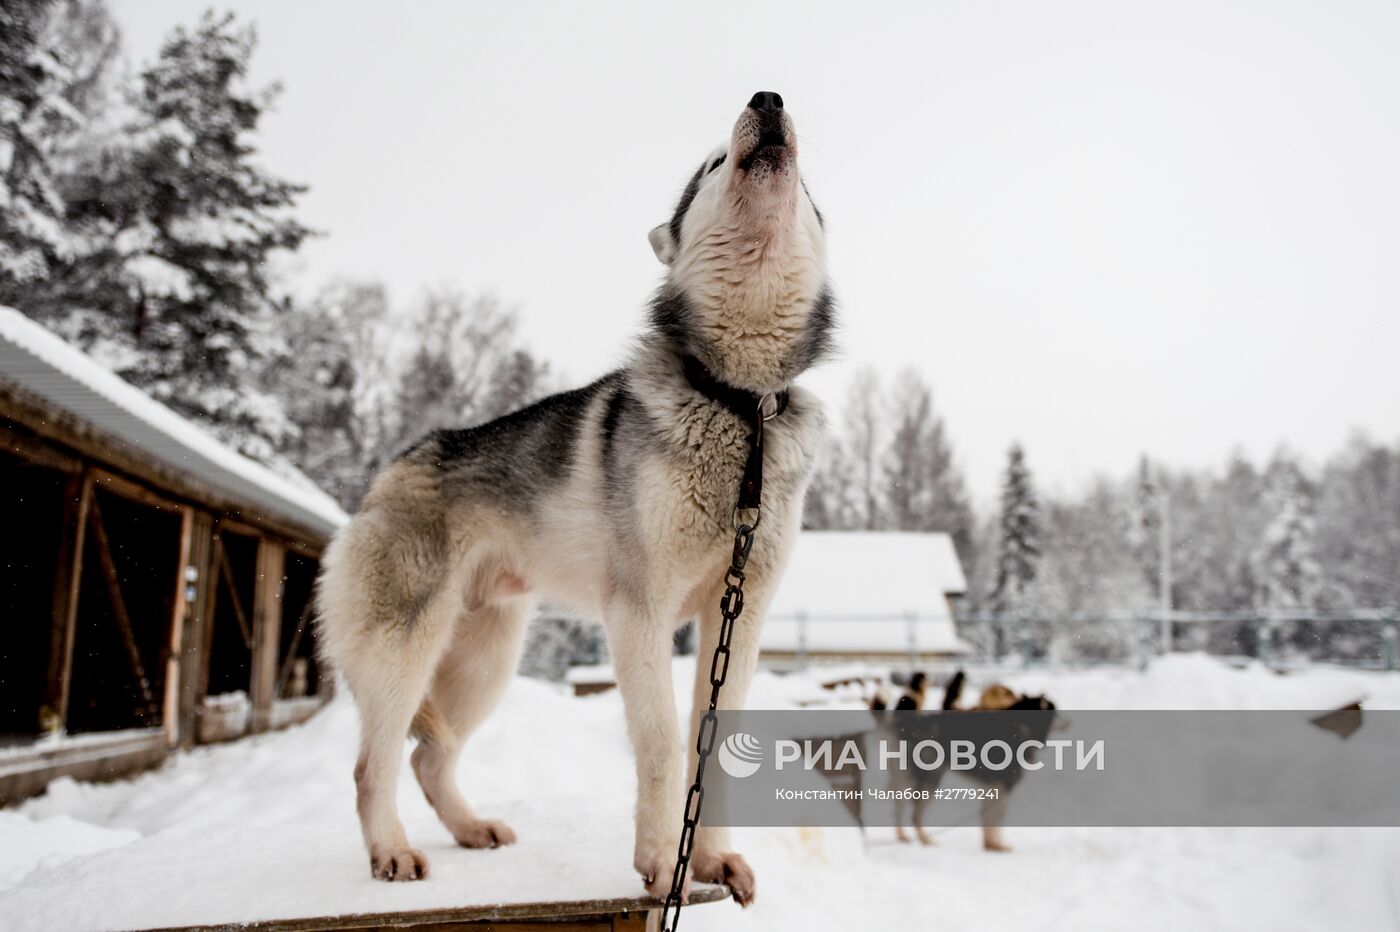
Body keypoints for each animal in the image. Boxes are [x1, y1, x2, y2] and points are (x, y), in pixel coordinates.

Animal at [317, 90, 828, 901]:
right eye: (714, 161)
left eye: (806, 184)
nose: (769, 99)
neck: (737, 403)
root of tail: (389, 470)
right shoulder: (637, 612)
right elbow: (660, 745)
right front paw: (662, 863)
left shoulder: (738, 617)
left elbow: (712, 743)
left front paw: (712, 859)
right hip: (409, 650)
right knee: (376, 763)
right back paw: (393, 853)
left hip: (486, 660)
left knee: (430, 758)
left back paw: (471, 828)